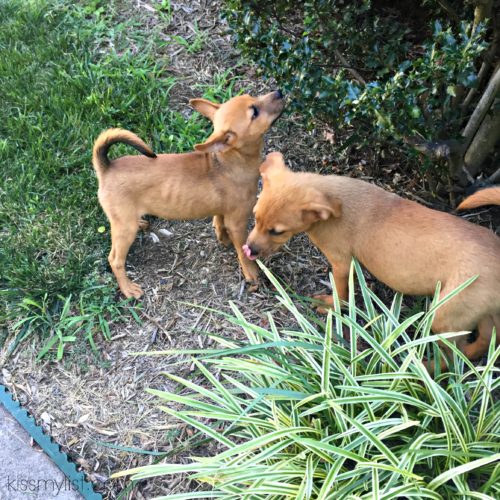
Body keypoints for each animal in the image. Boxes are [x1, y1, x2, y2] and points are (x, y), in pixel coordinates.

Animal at [92, 91, 284, 296]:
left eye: (251, 96)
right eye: (254, 113)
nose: (279, 92)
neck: (229, 160)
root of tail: (106, 167)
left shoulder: (222, 210)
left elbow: (219, 223)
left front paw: (223, 239)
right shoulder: (238, 222)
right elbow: (242, 250)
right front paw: (251, 272)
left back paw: (142, 223)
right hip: (125, 230)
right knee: (114, 260)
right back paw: (128, 288)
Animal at [245, 152, 500, 368]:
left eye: (277, 231)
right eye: (255, 217)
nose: (249, 250)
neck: (335, 203)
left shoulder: (341, 262)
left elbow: (341, 292)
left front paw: (330, 305)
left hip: (445, 316)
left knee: (452, 358)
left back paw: (424, 369)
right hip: (483, 314)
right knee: (485, 341)